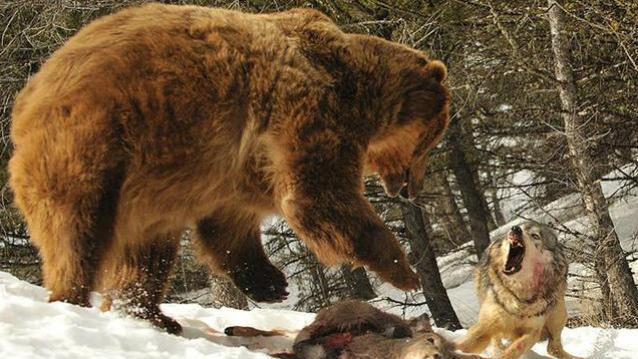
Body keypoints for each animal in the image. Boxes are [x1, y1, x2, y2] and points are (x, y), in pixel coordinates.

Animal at [8, 2, 450, 334]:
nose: (410, 189)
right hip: (95, 143)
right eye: (431, 140)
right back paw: (73, 299)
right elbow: (318, 196)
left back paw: (152, 314)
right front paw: (404, 269)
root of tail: (26, 99)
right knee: (77, 232)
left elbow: (230, 223)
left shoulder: (234, 167)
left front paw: (271, 283)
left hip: (146, 185)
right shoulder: (308, 112)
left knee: (146, 252)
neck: (359, 89)